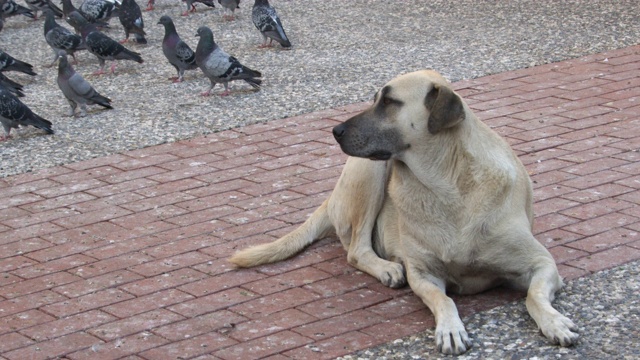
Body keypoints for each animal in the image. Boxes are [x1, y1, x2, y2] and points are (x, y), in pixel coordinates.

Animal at [231, 69, 580, 354]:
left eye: (388, 101)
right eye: (376, 99)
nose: (335, 130)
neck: (447, 186)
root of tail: (331, 198)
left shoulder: (541, 263)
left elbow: (534, 295)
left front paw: (554, 322)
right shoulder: (422, 273)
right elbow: (444, 299)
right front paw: (450, 328)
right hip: (370, 172)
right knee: (356, 250)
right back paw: (386, 267)